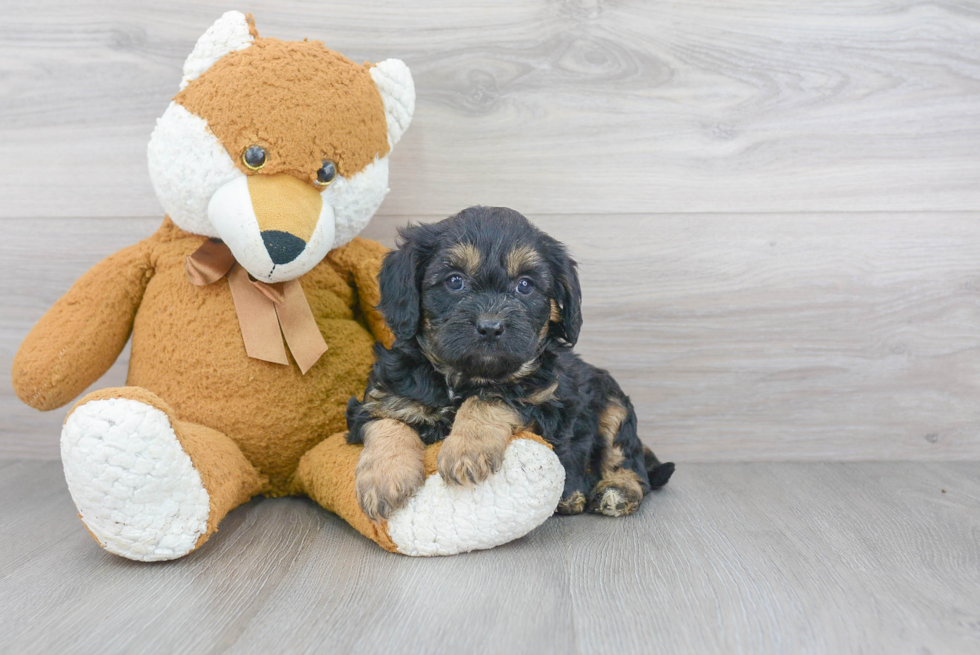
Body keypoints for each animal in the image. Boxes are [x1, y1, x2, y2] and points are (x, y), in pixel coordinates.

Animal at [346, 208, 672, 520]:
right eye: (455, 281)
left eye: (525, 285)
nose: (490, 327)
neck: (466, 377)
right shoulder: (383, 394)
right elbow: (387, 419)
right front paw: (384, 479)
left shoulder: (546, 403)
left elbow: (490, 397)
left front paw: (466, 449)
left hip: (615, 406)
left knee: (628, 462)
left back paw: (613, 491)